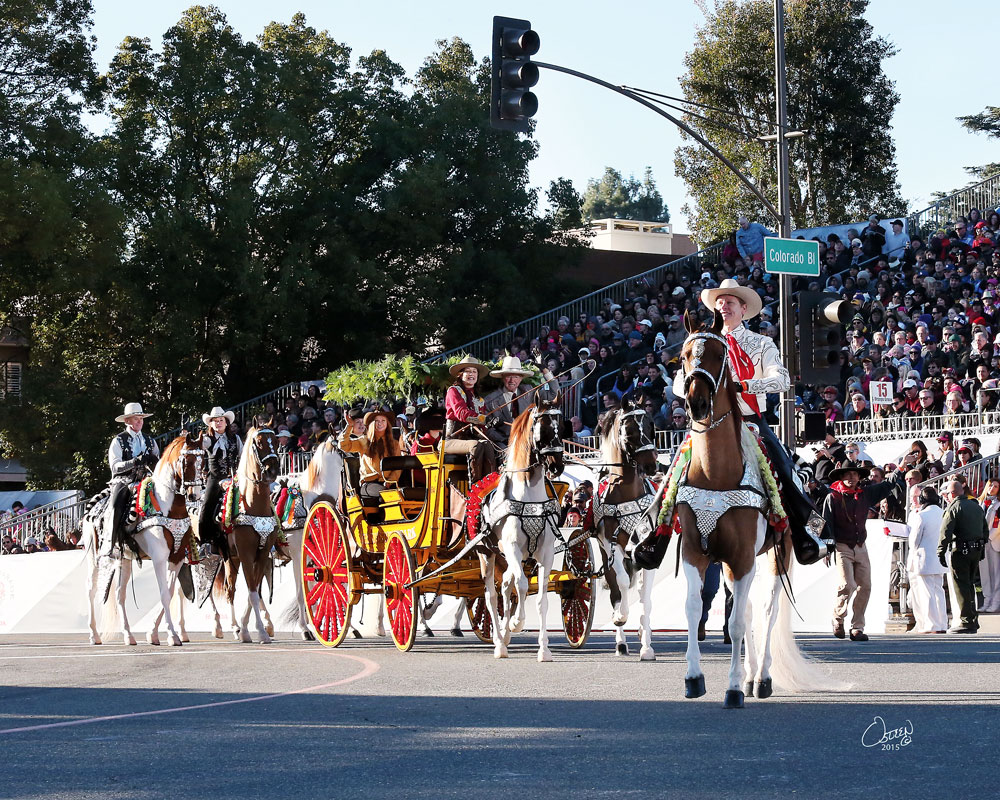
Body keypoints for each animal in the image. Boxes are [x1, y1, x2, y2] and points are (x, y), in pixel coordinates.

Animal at [84, 428, 205, 648]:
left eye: (203, 461)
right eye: (186, 461)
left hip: (124, 559)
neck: (168, 507)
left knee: (120, 594)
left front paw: (153, 634)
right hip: (94, 558)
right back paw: (94, 635)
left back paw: (128, 635)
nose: (194, 495)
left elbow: (169, 592)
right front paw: (172, 635)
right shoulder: (159, 558)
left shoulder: (176, 559)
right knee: (91, 589)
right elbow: (164, 594)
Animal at [482, 396, 568, 664]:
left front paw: (544, 649)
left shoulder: (545, 553)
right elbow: (521, 585)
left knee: (505, 585)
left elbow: (541, 598)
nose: (557, 466)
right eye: (543, 428)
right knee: (491, 595)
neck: (528, 496)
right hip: (487, 553)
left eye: (562, 427)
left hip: (509, 558)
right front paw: (517, 622)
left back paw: (505, 634)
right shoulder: (512, 548)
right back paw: (500, 642)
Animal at [592, 400, 664, 656]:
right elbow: (621, 584)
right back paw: (621, 641)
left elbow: (646, 597)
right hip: (607, 555)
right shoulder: (609, 543)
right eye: (629, 431)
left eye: (652, 426)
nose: (652, 465)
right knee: (615, 588)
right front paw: (620, 616)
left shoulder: (646, 549)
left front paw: (647, 646)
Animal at [672, 312, 844, 708]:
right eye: (684, 356)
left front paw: (734, 688)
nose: (696, 403)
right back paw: (751, 675)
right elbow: (695, 610)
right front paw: (694, 678)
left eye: (719, 354)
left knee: (767, 610)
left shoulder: (743, 556)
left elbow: (737, 622)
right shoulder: (696, 553)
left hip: (778, 552)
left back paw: (760, 678)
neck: (716, 473)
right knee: (748, 610)